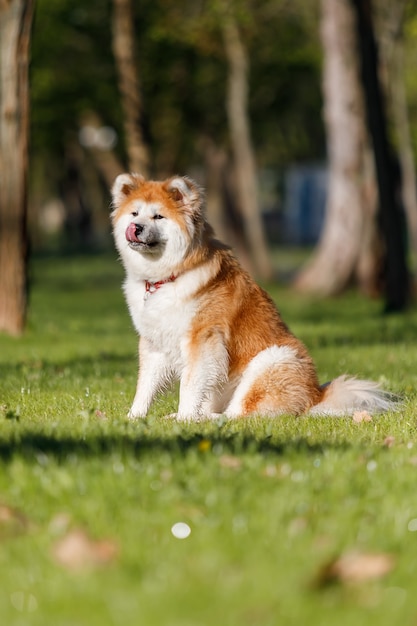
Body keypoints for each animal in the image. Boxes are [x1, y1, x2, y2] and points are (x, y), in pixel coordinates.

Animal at [110, 172, 394, 420]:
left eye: (158, 216)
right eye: (135, 213)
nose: (136, 227)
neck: (168, 276)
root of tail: (316, 397)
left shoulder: (201, 341)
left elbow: (189, 386)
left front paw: (185, 419)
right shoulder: (154, 343)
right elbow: (145, 386)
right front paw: (133, 418)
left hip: (269, 361)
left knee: (237, 415)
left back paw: (197, 419)